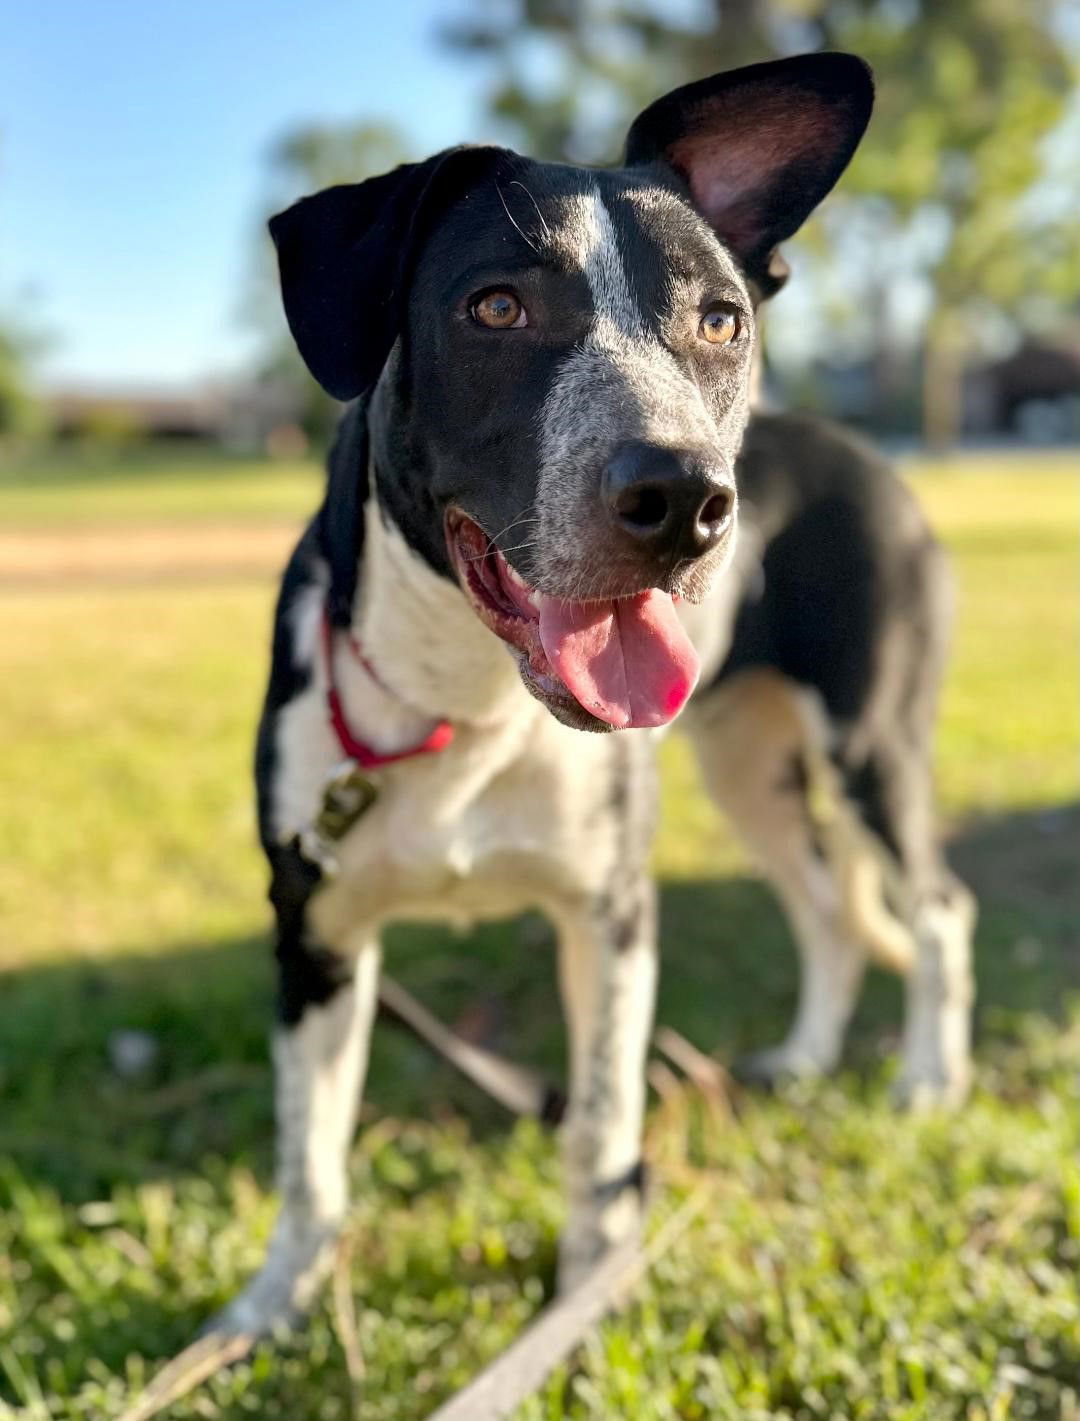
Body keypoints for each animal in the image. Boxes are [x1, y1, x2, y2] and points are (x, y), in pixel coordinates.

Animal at [214, 55, 971, 1335]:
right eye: (496, 308)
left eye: (721, 320)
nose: (685, 499)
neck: (464, 694)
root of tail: (869, 455)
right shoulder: (314, 928)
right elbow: (308, 1157)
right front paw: (269, 1307)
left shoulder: (610, 913)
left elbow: (603, 1129)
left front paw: (584, 1293)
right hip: (744, 763)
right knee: (826, 904)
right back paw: (808, 1058)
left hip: (870, 742)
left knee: (934, 908)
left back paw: (928, 1078)